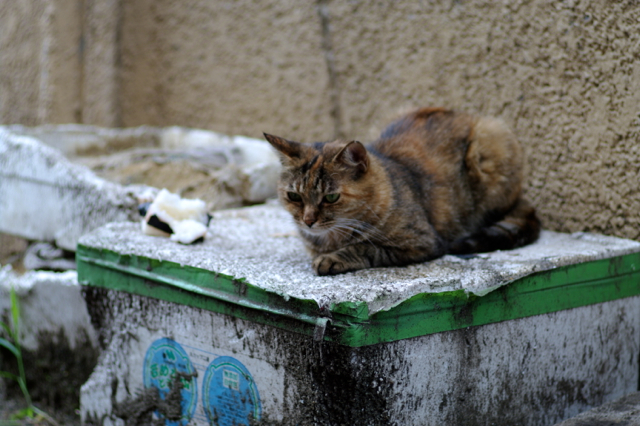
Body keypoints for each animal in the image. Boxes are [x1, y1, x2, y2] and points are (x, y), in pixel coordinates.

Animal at [264, 107, 541, 276]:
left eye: (331, 197)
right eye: (294, 196)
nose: (308, 221)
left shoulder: (422, 241)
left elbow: (367, 247)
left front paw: (332, 259)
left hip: (491, 146)